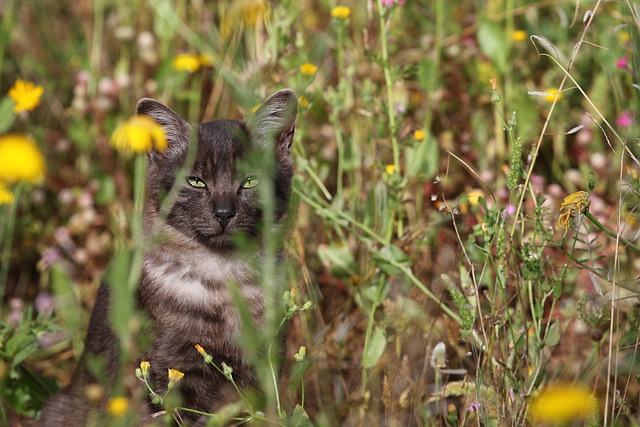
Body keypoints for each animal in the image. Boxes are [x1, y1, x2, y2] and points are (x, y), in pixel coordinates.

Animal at [38, 88, 298, 426]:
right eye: (196, 181)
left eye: (250, 181)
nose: (224, 212)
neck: (223, 279)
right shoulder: (168, 371)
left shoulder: (266, 364)